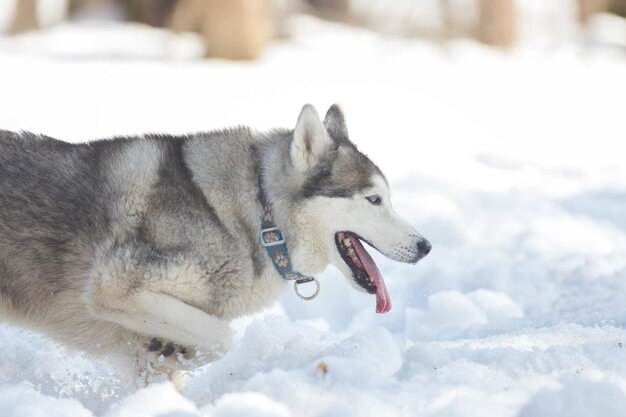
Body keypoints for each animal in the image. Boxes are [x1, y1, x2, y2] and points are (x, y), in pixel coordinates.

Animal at [0, 105, 428, 372]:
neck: (258, 219)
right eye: (373, 200)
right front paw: (172, 349)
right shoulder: (113, 285)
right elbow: (222, 340)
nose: (426, 247)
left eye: (387, 198)